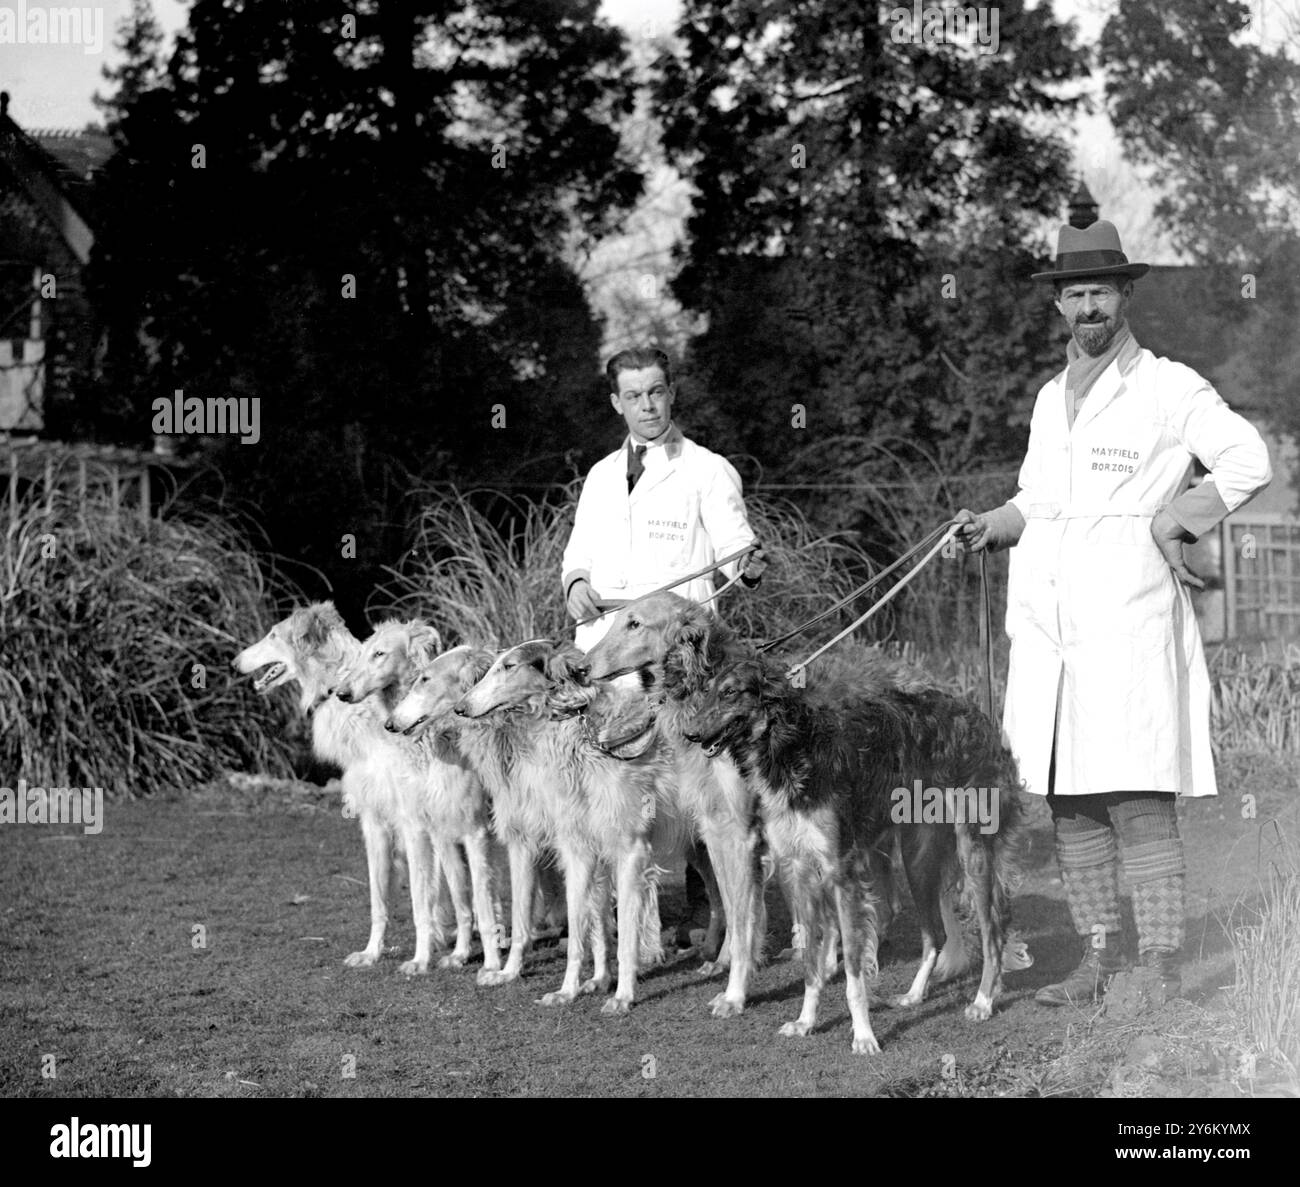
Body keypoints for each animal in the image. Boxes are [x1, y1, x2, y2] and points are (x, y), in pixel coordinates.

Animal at [233, 603, 457, 972]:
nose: (234, 662)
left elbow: (421, 898)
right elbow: (380, 899)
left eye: (273, 634)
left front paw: (424, 954)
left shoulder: (413, 821)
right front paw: (372, 953)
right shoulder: (375, 820)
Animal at [452, 644, 676, 1014]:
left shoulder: (629, 849)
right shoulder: (575, 847)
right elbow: (576, 927)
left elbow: (623, 937)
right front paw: (569, 989)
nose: (461, 707)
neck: (586, 739)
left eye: (508, 667)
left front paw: (623, 996)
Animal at [681, 652, 1024, 1050]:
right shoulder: (801, 871)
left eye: (730, 692)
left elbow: (853, 974)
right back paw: (914, 995)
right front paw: (805, 1022)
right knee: (935, 934)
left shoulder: (841, 873)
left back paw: (983, 1001)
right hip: (918, 858)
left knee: (993, 929)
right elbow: (811, 965)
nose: (690, 734)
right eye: (708, 691)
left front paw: (863, 1036)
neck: (794, 751)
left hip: (974, 850)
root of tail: (978, 715)